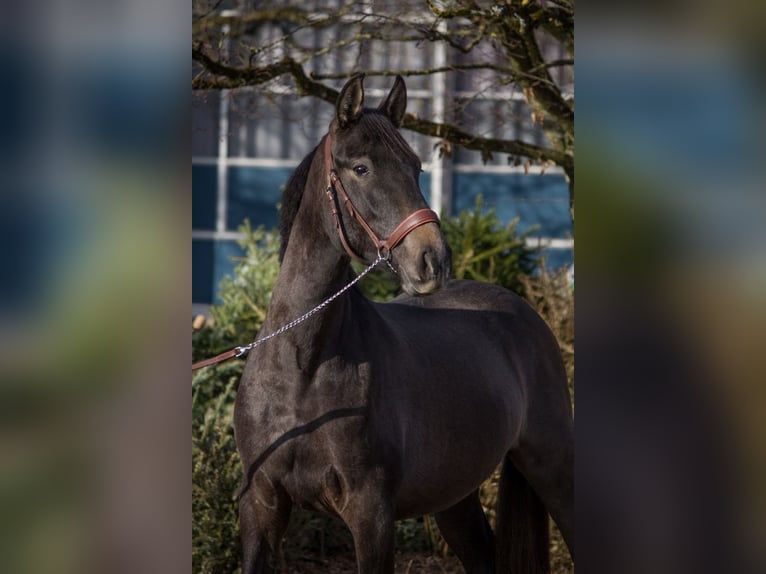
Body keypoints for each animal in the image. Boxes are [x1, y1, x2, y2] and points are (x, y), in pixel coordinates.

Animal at [236, 76, 576, 574]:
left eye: (416, 167)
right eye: (360, 168)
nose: (433, 259)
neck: (303, 366)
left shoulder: (371, 513)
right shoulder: (262, 506)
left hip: (553, 468)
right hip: (455, 497)